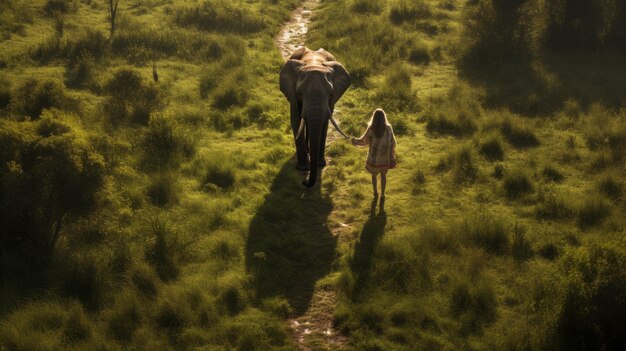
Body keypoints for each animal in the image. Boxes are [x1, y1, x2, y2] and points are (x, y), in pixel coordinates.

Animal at [280, 48, 352, 190]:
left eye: (330, 93)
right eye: (300, 92)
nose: (304, 182)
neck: (314, 63)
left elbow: (324, 123)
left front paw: (320, 165)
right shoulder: (293, 95)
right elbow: (296, 120)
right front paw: (302, 168)